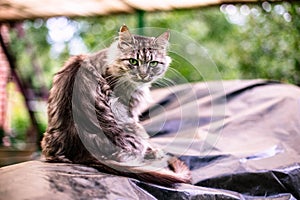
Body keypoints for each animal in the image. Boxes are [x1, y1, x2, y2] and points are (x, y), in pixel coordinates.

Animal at [41, 25, 191, 186]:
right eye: (133, 61)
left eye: (153, 63)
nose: (143, 75)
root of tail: (80, 150)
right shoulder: (131, 110)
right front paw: (155, 151)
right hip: (134, 129)